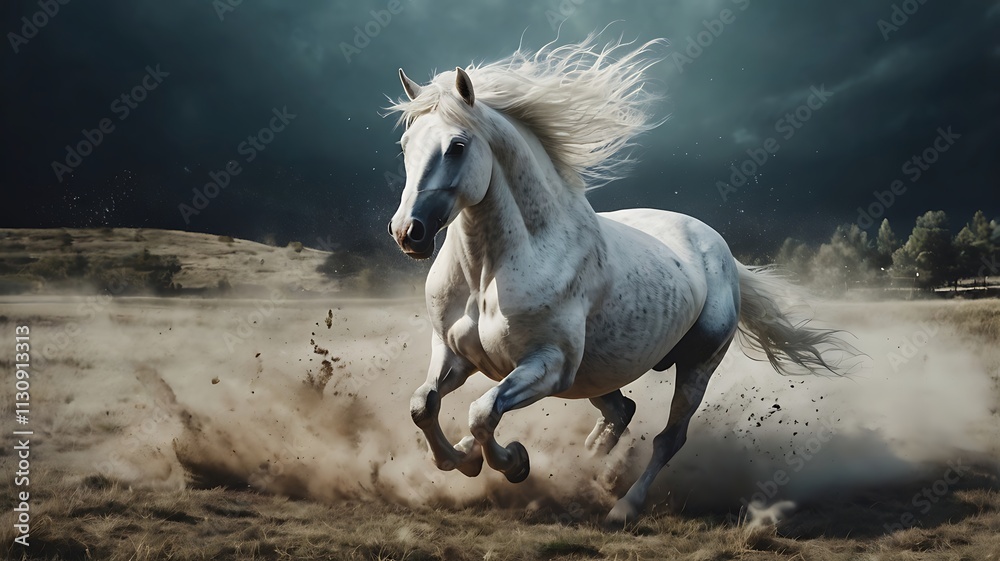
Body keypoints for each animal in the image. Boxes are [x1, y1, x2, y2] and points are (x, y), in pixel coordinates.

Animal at [386, 35, 855, 526]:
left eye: (457, 146)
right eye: (405, 144)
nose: (407, 232)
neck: (488, 275)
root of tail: (722, 250)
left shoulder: (549, 366)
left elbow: (482, 413)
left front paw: (514, 462)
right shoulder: (455, 353)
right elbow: (423, 405)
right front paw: (464, 459)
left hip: (694, 366)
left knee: (668, 438)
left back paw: (623, 505)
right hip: (597, 373)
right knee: (621, 409)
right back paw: (595, 460)